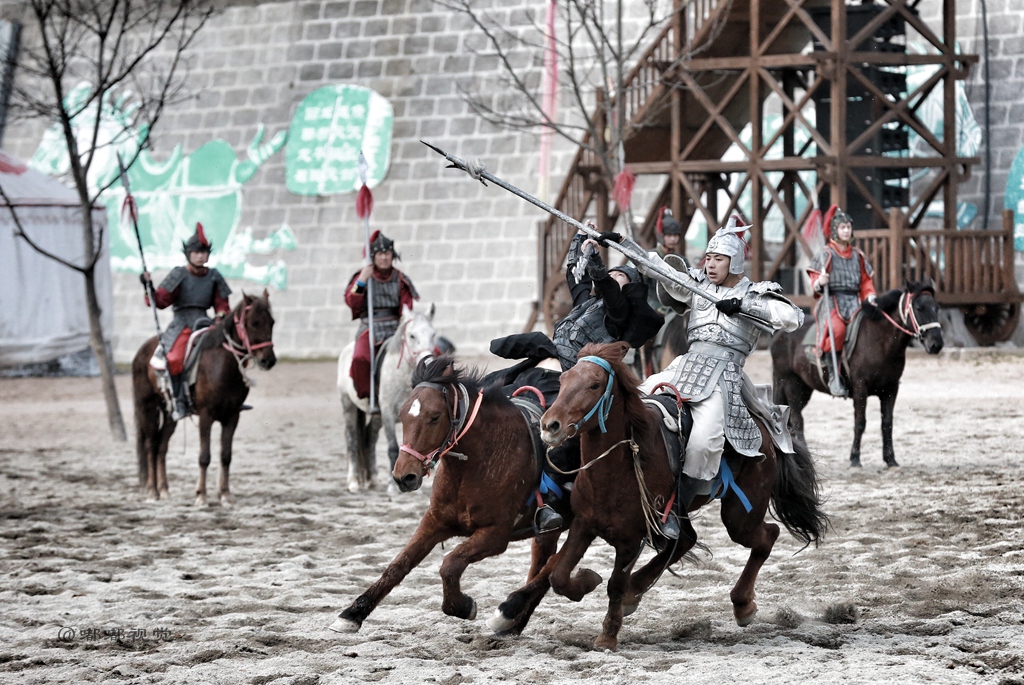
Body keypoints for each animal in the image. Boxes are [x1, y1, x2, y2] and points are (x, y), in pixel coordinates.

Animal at [131, 290, 276, 505]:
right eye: (254, 323)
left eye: (272, 322)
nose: (268, 360)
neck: (223, 364)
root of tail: (141, 351)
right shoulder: (206, 416)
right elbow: (204, 456)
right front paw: (201, 495)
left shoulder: (232, 416)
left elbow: (226, 455)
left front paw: (225, 494)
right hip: (147, 408)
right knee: (150, 445)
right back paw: (152, 491)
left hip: (171, 414)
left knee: (161, 446)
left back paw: (164, 489)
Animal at [331, 356, 561, 634]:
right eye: (402, 415)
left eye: (435, 416)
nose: (403, 476)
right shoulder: (434, 521)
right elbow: (398, 565)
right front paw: (352, 613)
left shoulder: (496, 534)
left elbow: (450, 564)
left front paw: (463, 606)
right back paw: (513, 624)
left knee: (552, 570)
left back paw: (508, 613)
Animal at [333, 305, 434, 491]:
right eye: (412, 335)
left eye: (433, 334)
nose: (427, 361)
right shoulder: (387, 412)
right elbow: (393, 447)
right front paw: (393, 487)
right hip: (348, 405)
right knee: (352, 438)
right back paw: (353, 481)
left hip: (377, 417)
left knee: (370, 437)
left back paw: (372, 479)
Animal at [497, 341, 831, 651]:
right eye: (564, 380)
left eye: (594, 384)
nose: (549, 426)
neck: (617, 469)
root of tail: (766, 427)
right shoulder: (583, 525)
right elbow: (559, 575)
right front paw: (587, 581)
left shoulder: (631, 539)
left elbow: (613, 584)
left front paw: (607, 636)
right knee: (687, 539)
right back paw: (638, 592)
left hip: (740, 514)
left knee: (766, 535)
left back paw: (742, 604)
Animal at [770, 280, 942, 466]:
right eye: (919, 308)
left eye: (936, 308)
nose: (936, 344)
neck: (881, 340)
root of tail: (780, 334)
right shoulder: (861, 388)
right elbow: (860, 423)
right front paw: (855, 458)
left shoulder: (891, 389)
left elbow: (887, 423)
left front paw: (890, 459)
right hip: (790, 383)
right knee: (796, 421)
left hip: (803, 388)